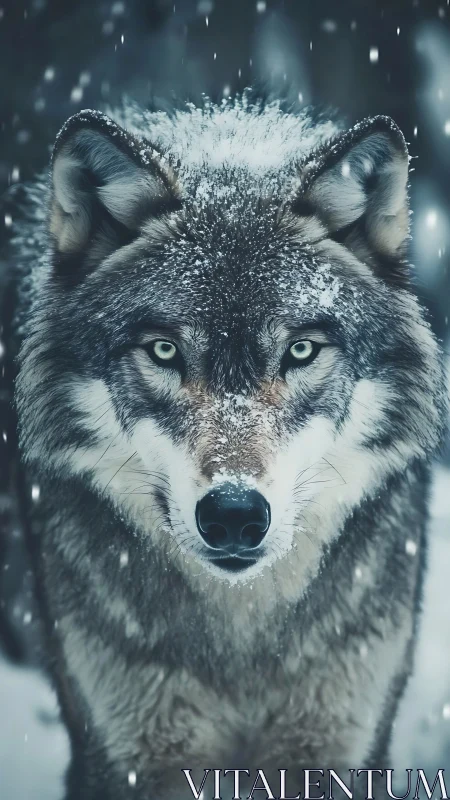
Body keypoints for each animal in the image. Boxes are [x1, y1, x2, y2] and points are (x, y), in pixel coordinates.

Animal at [9, 97, 446, 799]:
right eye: (164, 350)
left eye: (301, 350)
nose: (234, 515)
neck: (244, 638)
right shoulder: (127, 759)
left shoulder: (338, 750)